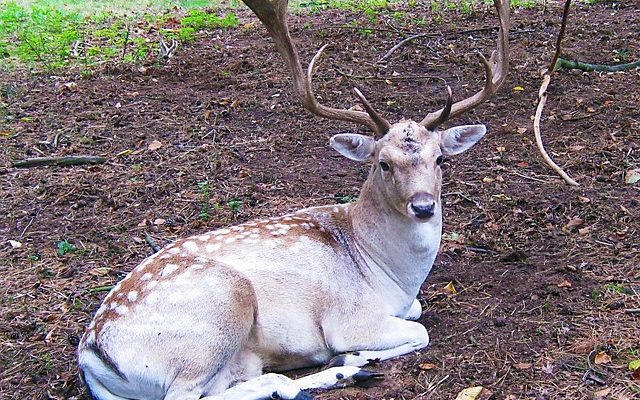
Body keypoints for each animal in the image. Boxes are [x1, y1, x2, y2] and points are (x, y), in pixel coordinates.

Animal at [77, 0, 508, 398]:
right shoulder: (350, 319)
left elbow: (417, 313)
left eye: (440, 158)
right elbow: (419, 331)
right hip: (221, 309)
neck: (390, 272)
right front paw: (350, 354)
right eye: (382, 163)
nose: (422, 206)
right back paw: (324, 374)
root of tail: (92, 354)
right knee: (187, 394)